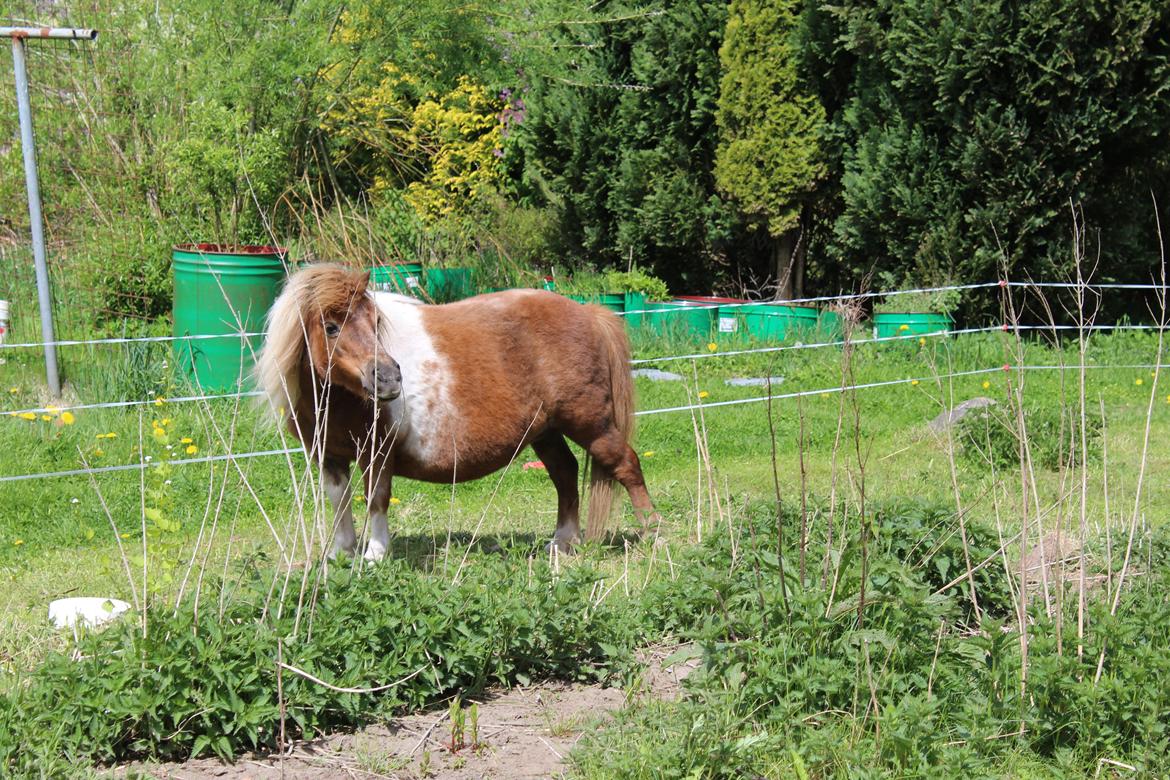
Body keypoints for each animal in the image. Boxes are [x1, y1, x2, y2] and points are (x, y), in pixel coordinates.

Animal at [257, 265, 659, 558]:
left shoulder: (377, 452)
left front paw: (375, 554)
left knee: (625, 464)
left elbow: (376, 499)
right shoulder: (327, 455)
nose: (388, 378)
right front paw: (342, 553)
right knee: (565, 473)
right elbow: (339, 501)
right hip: (545, 431)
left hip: (591, 425)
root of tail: (589, 313)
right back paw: (562, 542)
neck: (339, 398)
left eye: (376, 322)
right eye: (330, 326)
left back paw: (653, 533)